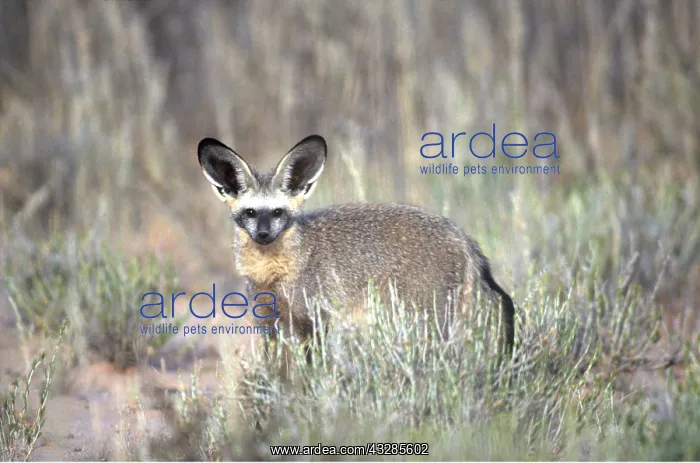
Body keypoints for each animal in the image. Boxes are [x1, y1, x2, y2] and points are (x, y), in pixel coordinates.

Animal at [197, 134, 515, 364]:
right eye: (250, 213)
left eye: (278, 213)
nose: (263, 234)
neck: (274, 272)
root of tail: (461, 235)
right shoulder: (271, 325)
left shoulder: (315, 322)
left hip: (424, 321)